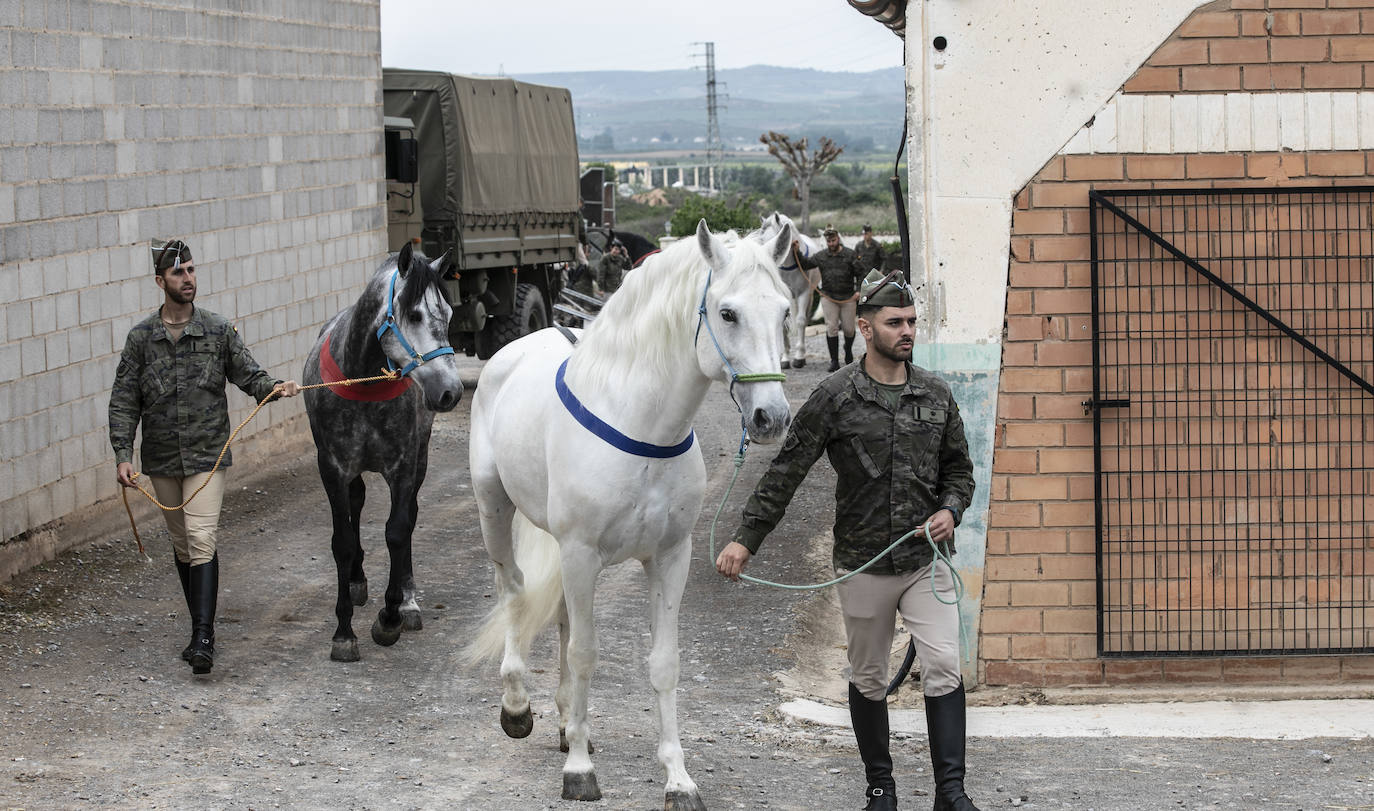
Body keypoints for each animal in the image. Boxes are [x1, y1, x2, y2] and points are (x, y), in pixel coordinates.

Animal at [303, 244, 464, 665]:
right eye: (415, 314)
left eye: (449, 314)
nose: (451, 391)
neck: (362, 380)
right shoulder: (332, 468)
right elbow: (342, 542)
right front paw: (344, 633)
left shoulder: (404, 466)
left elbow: (397, 530)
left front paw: (392, 615)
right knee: (357, 503)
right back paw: (357, 581)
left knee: (408, 518)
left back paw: (407, 602)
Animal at [464, 219, 796, 808]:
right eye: (727, 313)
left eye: (783, 311)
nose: (771, 418)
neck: (643, 431)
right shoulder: (579, 553)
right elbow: (585, 654)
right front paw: (578, 772)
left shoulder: (669, 557)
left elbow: (662, 664)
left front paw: (678, 779)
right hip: (494, 511)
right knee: (514, 592)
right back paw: (519, 707)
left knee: (561, 616)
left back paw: (566, 722)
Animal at [758, 214, 818, 371]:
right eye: (761, 240)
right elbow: (783, 326)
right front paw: (784, 360)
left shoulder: (803, 294)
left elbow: (801, 321)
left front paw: (799, 358)